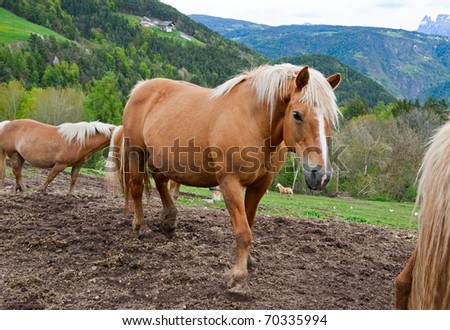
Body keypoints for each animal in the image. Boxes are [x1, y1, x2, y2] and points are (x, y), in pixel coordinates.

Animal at [109, 63, 342, 292]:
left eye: (330, 119)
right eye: (297, 115)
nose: (321, 175)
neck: (253, 121)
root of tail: (141, 87)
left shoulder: (260, 185)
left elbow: (249, 223)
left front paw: (247, 262)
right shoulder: (230, 183)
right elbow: (243, 231)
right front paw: (238, 276)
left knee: (160, 181)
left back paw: (169, 220)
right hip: (136, 153)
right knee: (137, 188)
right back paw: (141, 227)